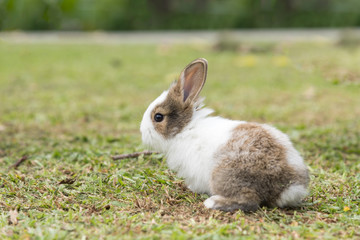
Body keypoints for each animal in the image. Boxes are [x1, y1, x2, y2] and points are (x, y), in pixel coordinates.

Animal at [141, 58, 310, 212]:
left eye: (158, 117)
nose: (142, 131)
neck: (185, 128)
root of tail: (289, 186)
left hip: (225, 175)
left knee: (249, 201)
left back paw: (212, 202)